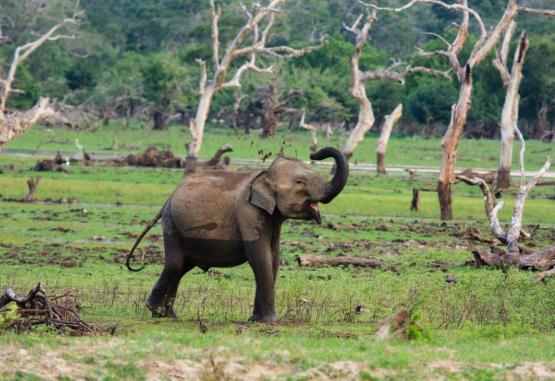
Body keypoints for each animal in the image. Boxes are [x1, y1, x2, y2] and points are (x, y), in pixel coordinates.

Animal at [128, 145, 350, 320]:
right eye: (300, 182)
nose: (314, 153)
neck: (264, 175)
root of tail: (168, 198)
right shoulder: (248, 213)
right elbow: (260, 258)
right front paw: (269, 321)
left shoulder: (272, 220)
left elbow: (273, 259)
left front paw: (256, 319)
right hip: (171, 224)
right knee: (174, 264)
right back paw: (156, 310)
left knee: (182, 267)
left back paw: (168, 315)